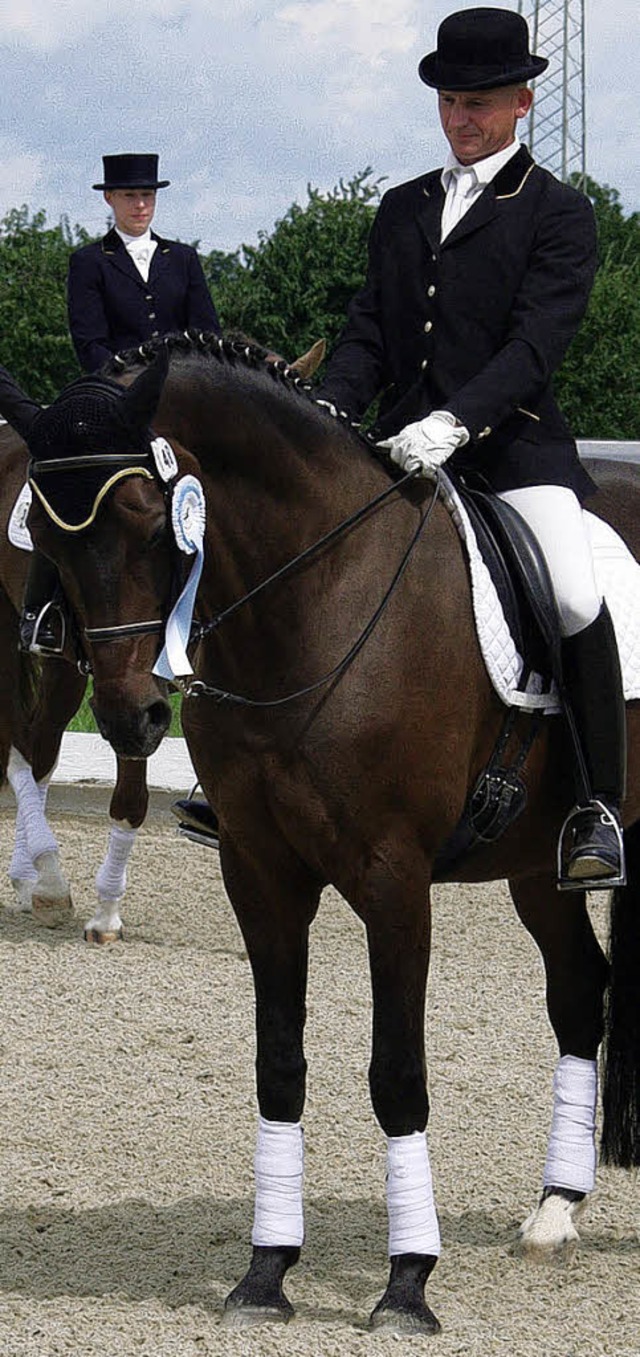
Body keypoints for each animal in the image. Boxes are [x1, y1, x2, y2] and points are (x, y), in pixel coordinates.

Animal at [2, 339, 637, 1335]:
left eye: (149, 522)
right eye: (49, 534)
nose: (134, 716)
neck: (315, 600)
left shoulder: (394, 878)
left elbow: (397, 1073)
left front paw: (407, 1283)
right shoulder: (260, 871)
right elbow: (279, 1064)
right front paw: (267, 1270)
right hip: (540, 864)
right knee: (579, 990)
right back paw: (552, 1214)